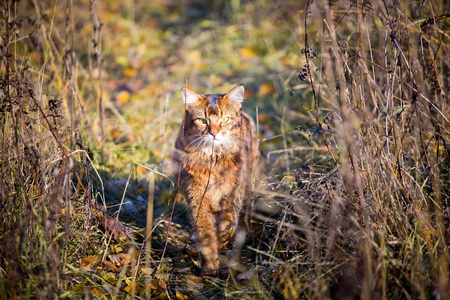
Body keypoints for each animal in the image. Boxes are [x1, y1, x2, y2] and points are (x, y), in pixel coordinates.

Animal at [173, 84, 258, 276]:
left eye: (224, 119)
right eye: (202, 121)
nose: (213, 133)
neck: (213, 160)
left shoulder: (233, 193)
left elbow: (229, 225)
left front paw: (221, 241)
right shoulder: (197, 198)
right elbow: (205, 235)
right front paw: (210, 267)